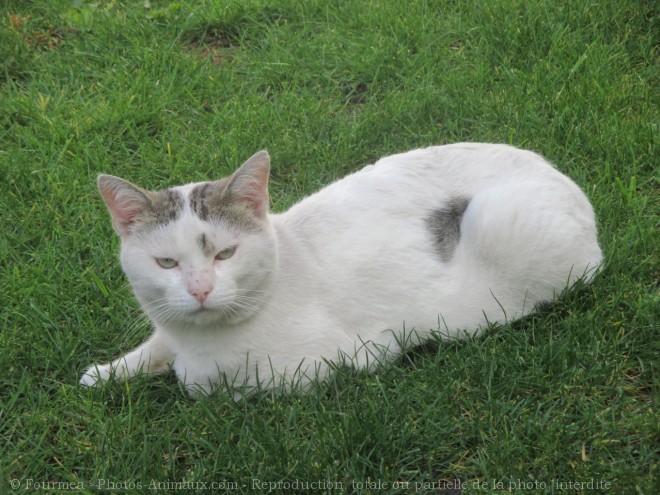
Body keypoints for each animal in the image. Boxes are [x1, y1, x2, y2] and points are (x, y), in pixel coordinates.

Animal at [80, 141, 600, 398]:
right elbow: (154, 348)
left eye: (225, 254)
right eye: (167, 262)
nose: (201, 289)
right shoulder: (168, 327)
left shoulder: (343, 359)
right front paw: (104, 374)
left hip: (499, 223)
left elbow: (203, 387)